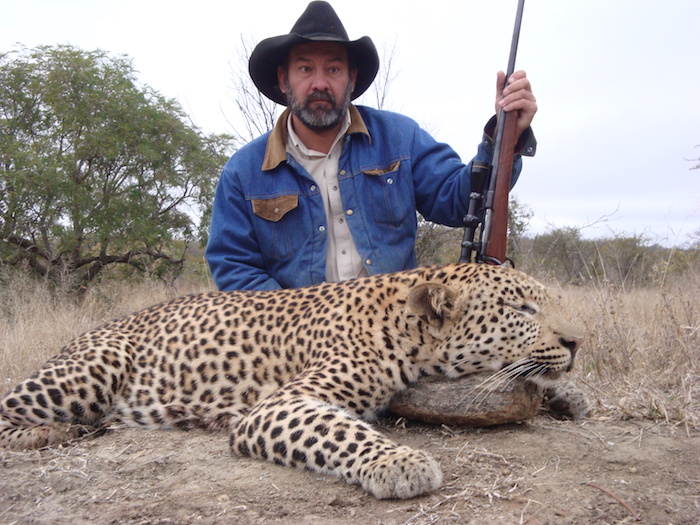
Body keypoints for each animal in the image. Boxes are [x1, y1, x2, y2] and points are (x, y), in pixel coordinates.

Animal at [0, 263, 587, 499]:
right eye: (522, 307)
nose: (578, 340)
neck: (405, 327)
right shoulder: (279, 404)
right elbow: (340, 430)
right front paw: (402, 463)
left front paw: (571, 393)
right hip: (92, 368)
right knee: (11, 408)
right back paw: (51, 433)